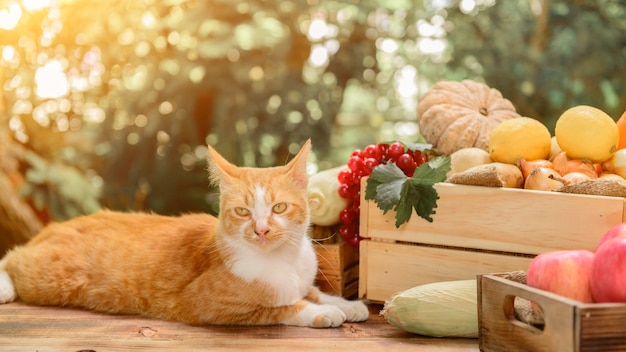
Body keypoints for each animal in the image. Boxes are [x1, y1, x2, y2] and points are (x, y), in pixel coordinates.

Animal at [0, 140, 366, 328]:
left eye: (279, 208)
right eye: (242, 212)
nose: (261, 230)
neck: (283, 259)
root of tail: (57, 225)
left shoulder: (304, 280)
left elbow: (314, 292)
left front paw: (347, 305)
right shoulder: (207, 305)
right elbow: (282, 306)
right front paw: (320, 312)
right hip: (50, 275)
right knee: (12, 257)